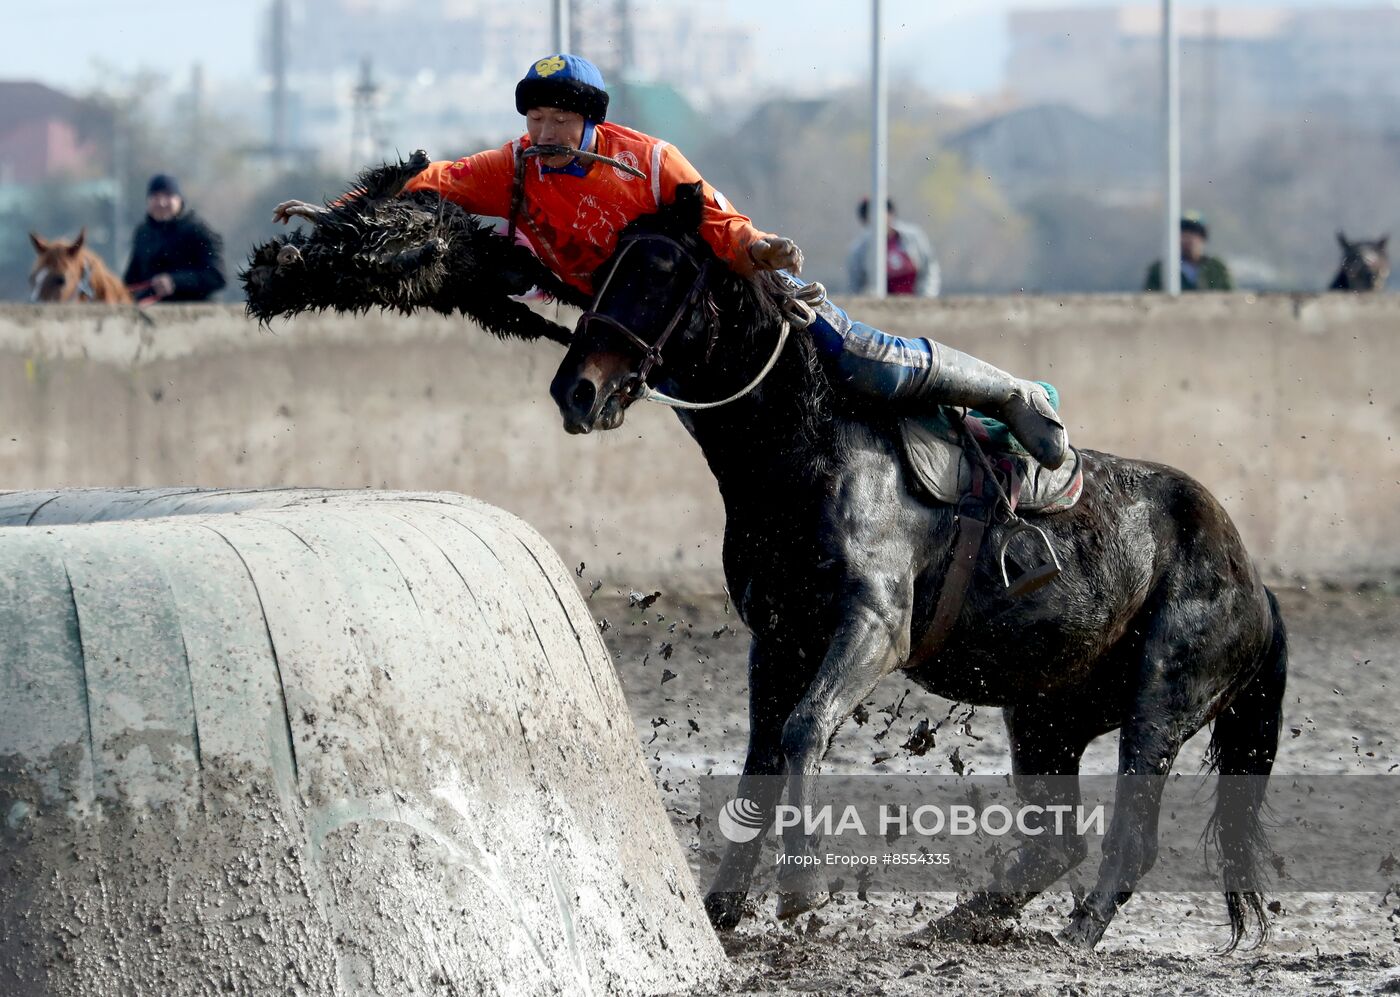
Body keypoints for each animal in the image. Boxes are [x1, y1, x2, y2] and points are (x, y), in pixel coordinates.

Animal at [546, 180, 1288, 952]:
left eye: (660, 269)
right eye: (600, 269)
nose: (577, 390)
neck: (811, 451)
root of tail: (1254, 584)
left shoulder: (873, 625)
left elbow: (804, 730)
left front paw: (802, 891)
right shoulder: (777, 641)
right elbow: (761, 764)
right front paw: (721, 910)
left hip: (1159, 705)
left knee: (1130, 836)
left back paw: (1074, 936)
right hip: (1044, 716)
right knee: (1057, 841)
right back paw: (960, 922)